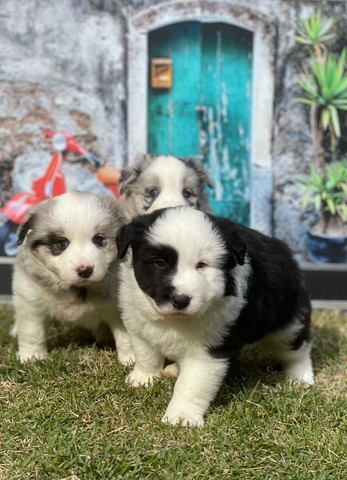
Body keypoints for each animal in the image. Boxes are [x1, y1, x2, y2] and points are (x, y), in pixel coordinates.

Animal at [12, 191, 135, 364]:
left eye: (98, 239)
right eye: (62, 243)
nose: (85, 270)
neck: (79, 288)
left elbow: (127, 335)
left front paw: (132, 359)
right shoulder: (31, 301)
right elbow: (32, 332)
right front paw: (32, 357)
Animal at [116, 206, 316, 428]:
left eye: (202, 265)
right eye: (160, 263)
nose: (180, 300)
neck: (175, 320)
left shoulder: (208, 352)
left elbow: (192, 384)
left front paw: (182, 417)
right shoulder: (139, 325)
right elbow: (146, 355)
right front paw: (142, 379)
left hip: (289, 323)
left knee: (297, 350)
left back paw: (301, 377)